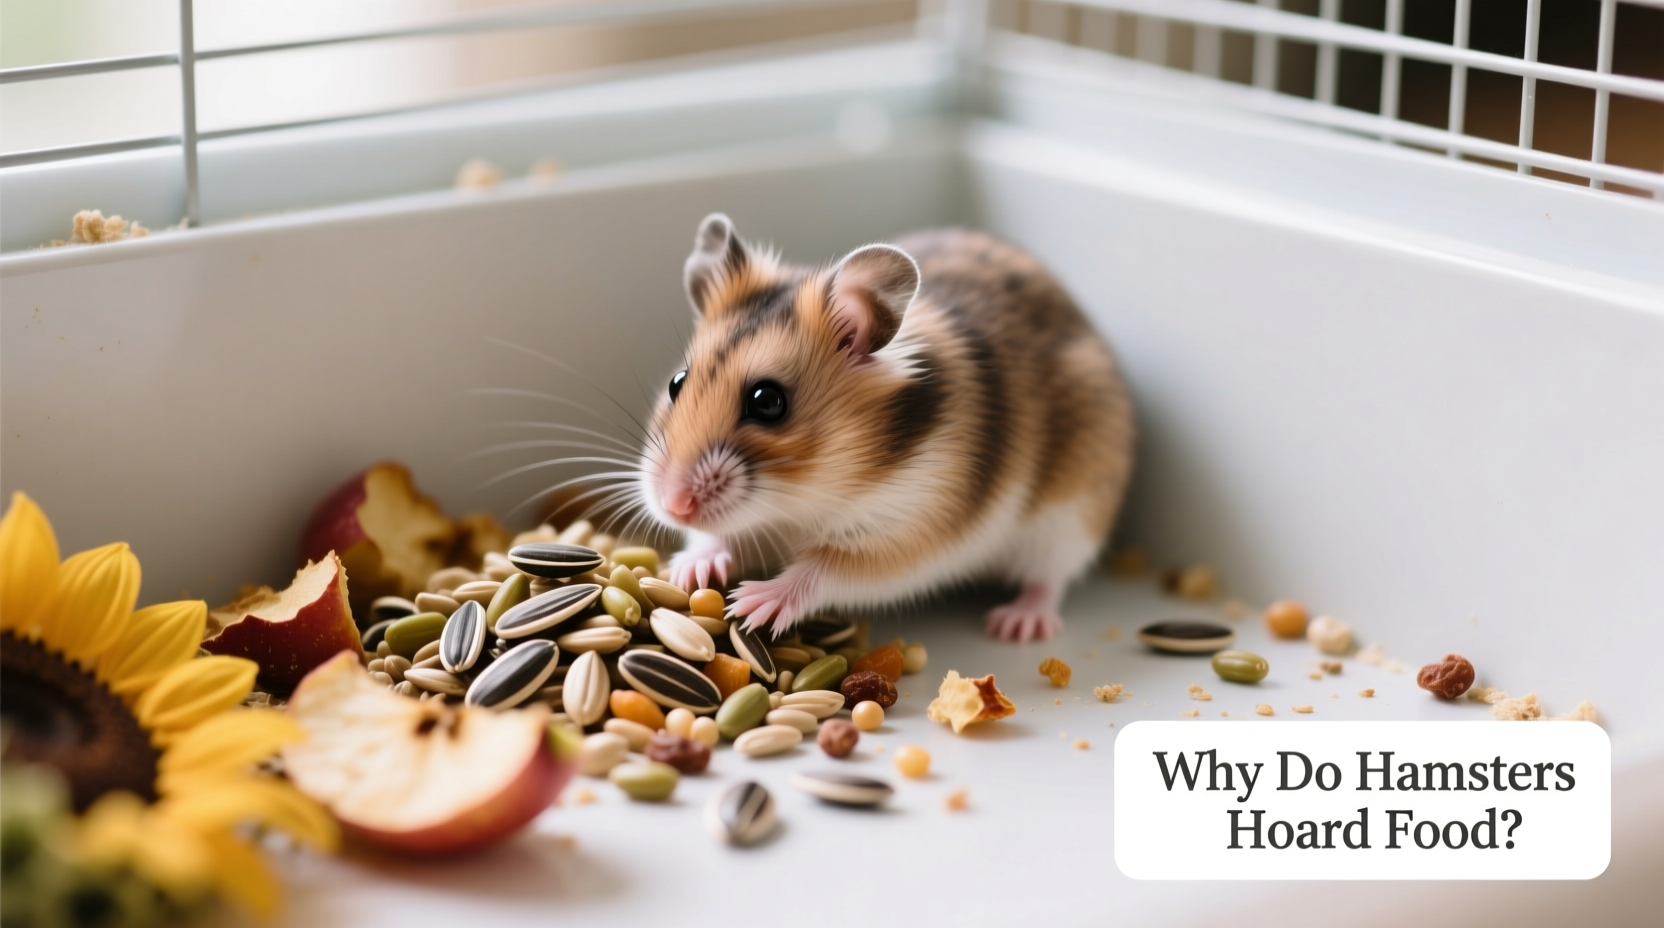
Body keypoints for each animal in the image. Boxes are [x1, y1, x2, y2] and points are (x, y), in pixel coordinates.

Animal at [636, 214, 1134, 642]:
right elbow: (716, 537)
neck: (800, 501)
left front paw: (753, 603)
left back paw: (1017, 624)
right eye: (677, 383)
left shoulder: (909, 534)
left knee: (1050, 578)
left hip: (1073, 517)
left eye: (768, 403)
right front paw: (688, 571)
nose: (673, 505)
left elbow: (827, 569)